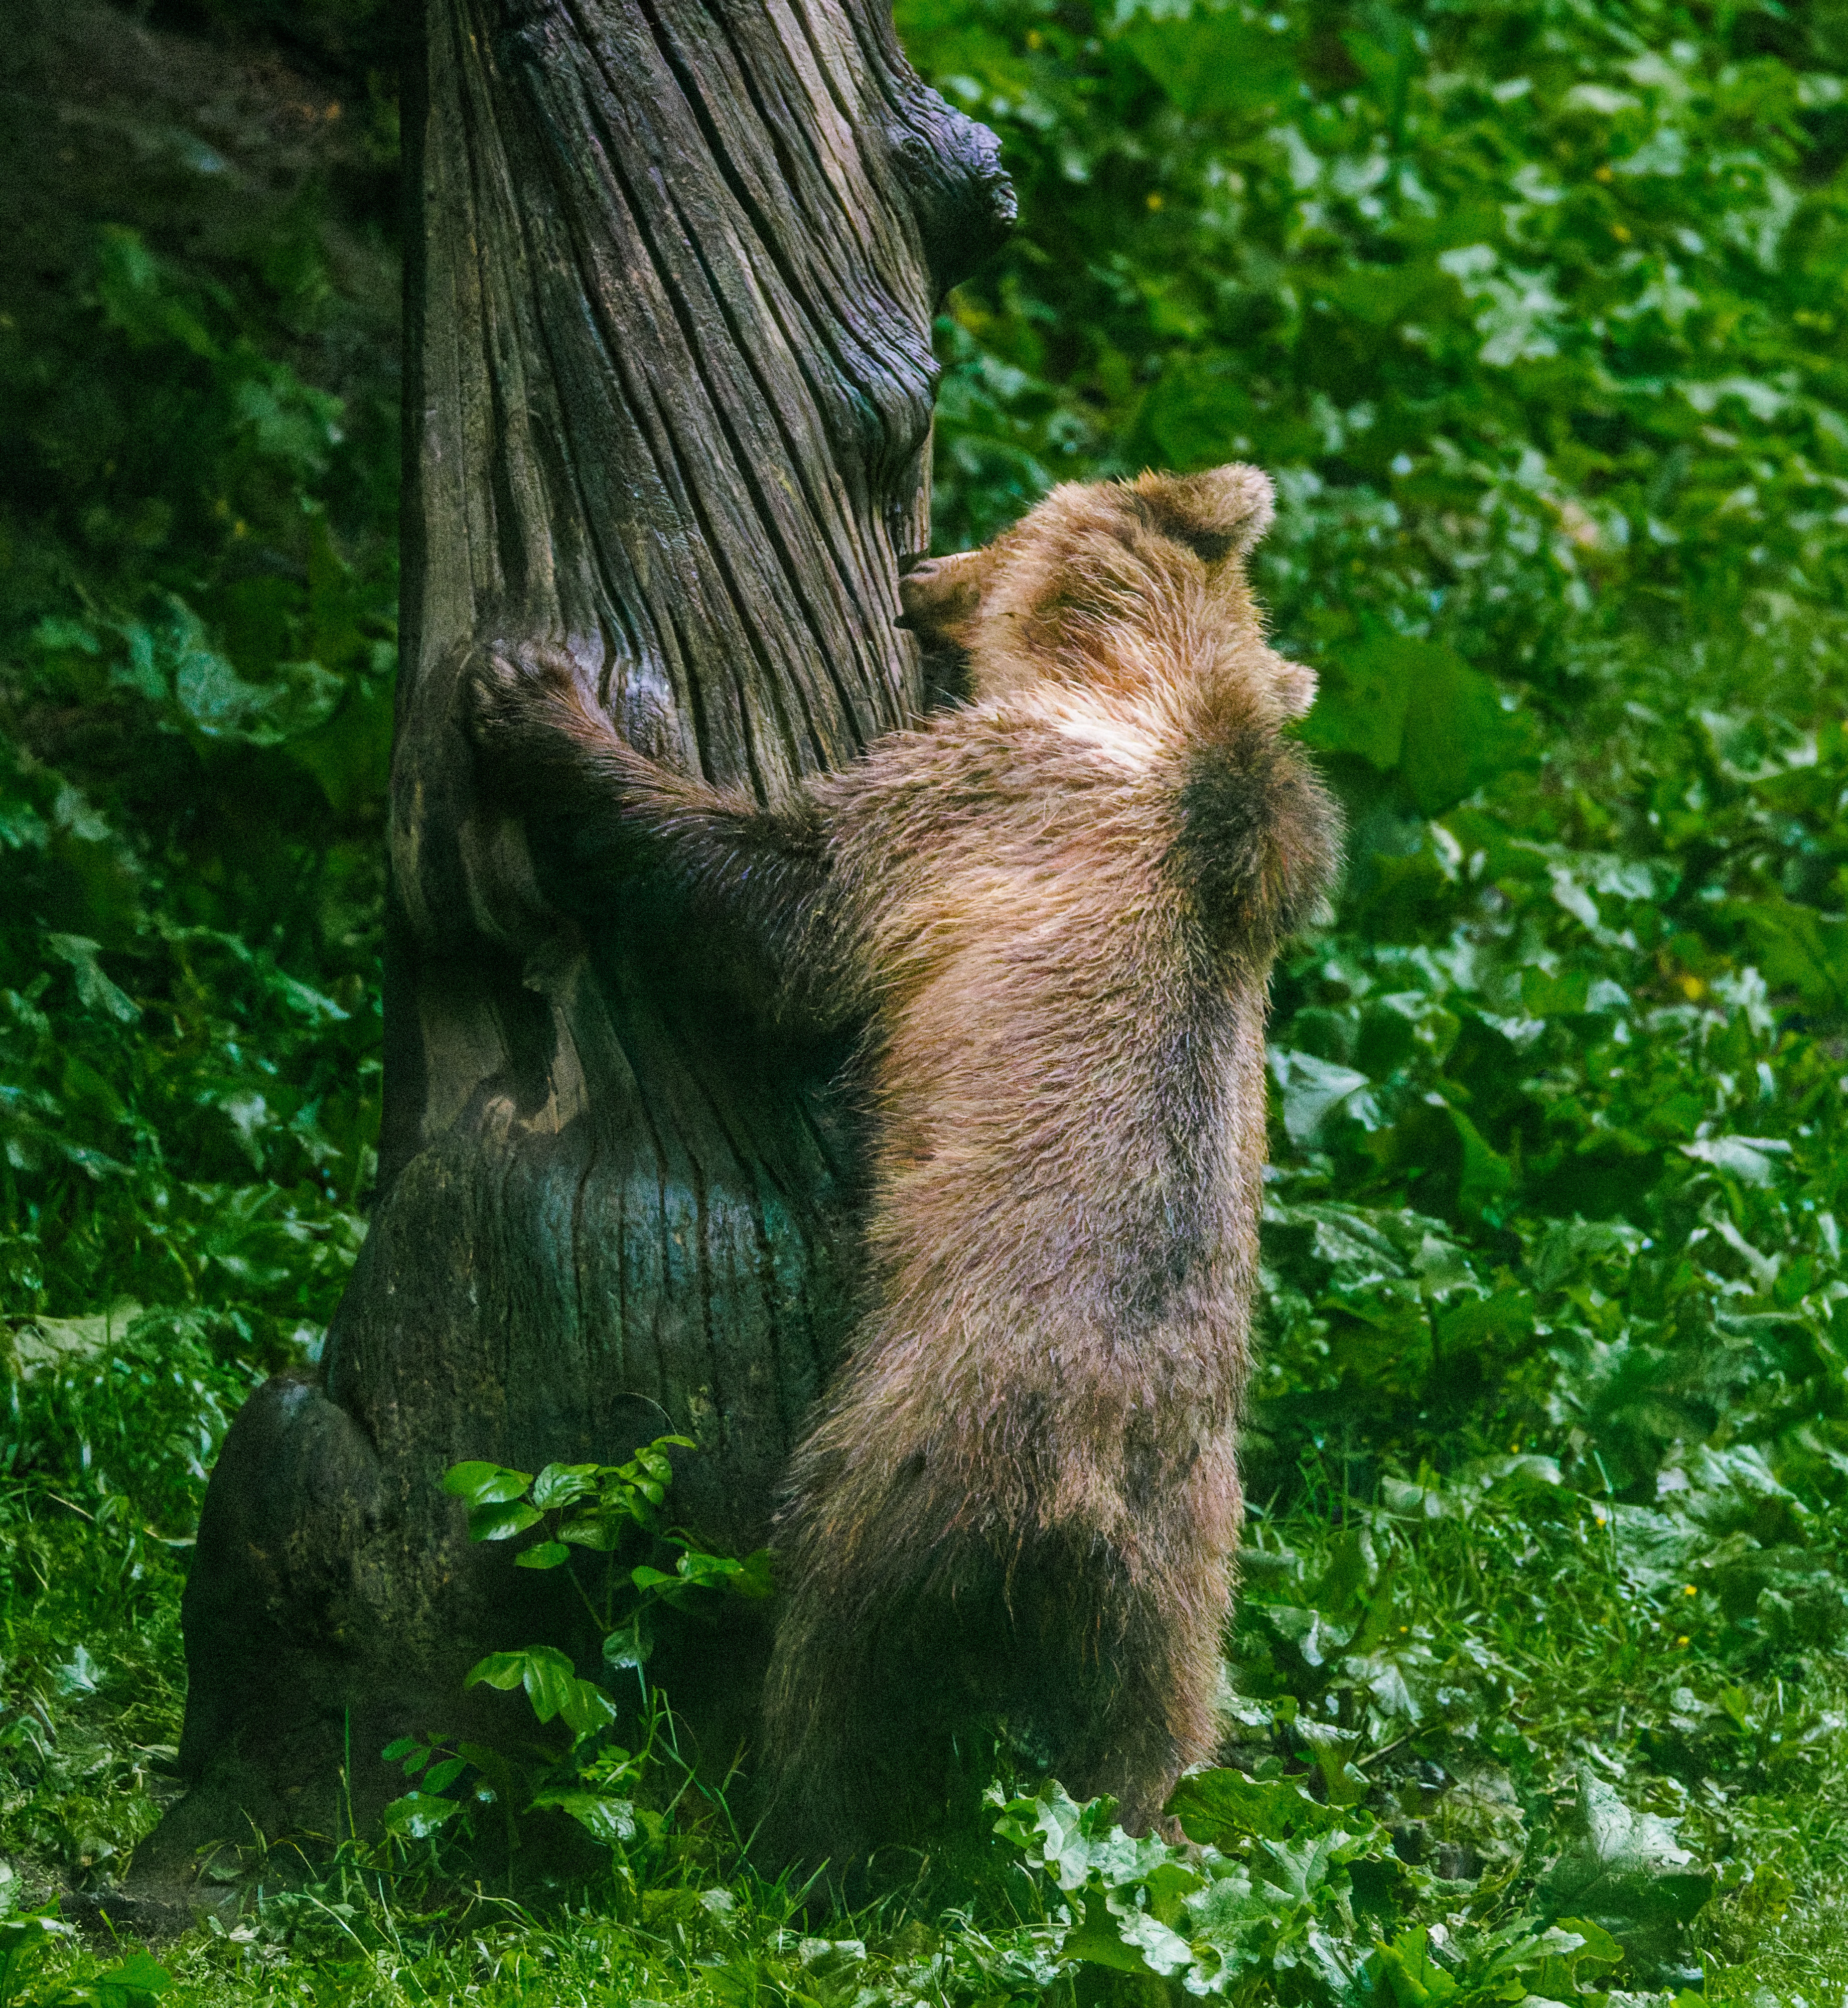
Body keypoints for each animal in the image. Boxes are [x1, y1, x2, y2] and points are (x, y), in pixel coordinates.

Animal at [464, 463, 1342, 1876]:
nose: (917, 566)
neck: (1144, 693)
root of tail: (1085, 1507)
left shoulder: (977, 809)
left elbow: (787, 905)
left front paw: (537, 703)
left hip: (901, 1462)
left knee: (834, 1657)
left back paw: (791, 1830)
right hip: (1190, 1572)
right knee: (1149, 1732)